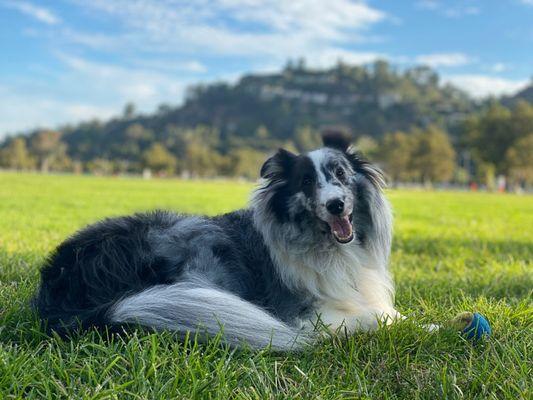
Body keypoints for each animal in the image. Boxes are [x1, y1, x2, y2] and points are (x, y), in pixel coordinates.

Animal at [33, 132, 406, 350]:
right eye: (305, 182)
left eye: (341, 173)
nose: (335, 205)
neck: (324, 245)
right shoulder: (302, 314)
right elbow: (377, 316)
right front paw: (409, 322)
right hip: (197, 240)